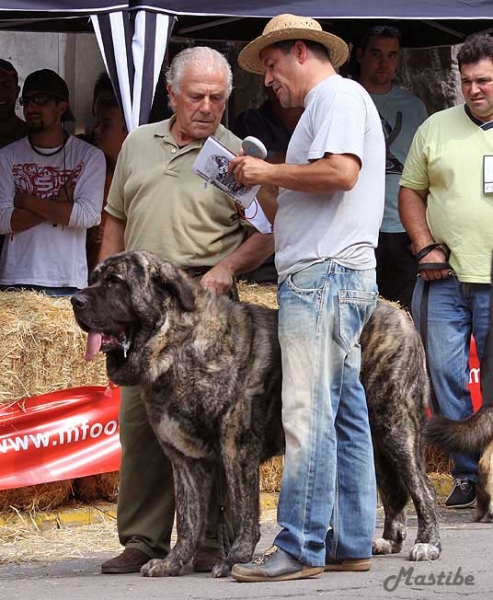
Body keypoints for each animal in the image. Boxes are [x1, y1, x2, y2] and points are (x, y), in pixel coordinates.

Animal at [71, 250, 440, 576]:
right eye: (94, 279)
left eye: (115, 282)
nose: (76, 300)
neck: (178, 345)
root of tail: (400, 314)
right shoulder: (185, 458)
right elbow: (188, 519)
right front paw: (172, 563)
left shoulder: (237, 450)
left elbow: (242, 510)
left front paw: (234, 559)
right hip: (373, 438)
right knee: (391, 489)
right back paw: (387, 541)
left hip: (396, 428)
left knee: (422, 488)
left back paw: (427, 544)